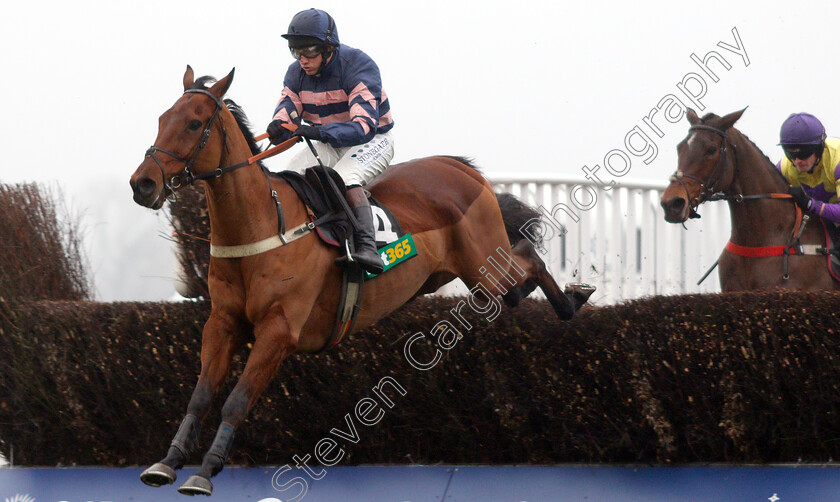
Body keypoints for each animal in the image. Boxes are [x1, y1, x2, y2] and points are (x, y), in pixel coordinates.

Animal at [130, 66, 592, 494]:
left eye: (194, 123)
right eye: (162, 118)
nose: (143, 184)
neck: (261, 226)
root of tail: (461, 168)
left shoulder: (279, 330)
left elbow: (236, 402)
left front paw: (205, 472)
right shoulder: (222, 323)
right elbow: (201, 395)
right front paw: (167, 462)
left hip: (486, 268)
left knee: (528, 258)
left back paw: (575, 298)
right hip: (472, 278)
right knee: (517, 287)